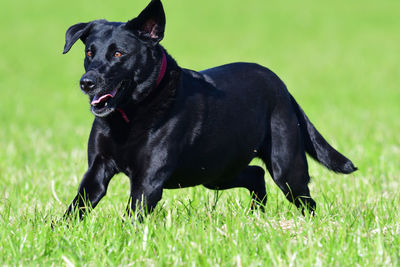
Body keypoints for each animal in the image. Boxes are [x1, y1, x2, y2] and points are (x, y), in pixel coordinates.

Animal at [62, 0, 356, 220]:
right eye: (90, 52)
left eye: (118, 54)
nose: (86, 82)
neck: (130, 115)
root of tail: (280, 85)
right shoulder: (98, 168)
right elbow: (76, 206)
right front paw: (61, 233)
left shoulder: (147, 181)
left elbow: (132, 216)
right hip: (215, 171)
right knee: (256, 175)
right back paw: (255, 216)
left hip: (285, 168)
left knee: (305, 200)